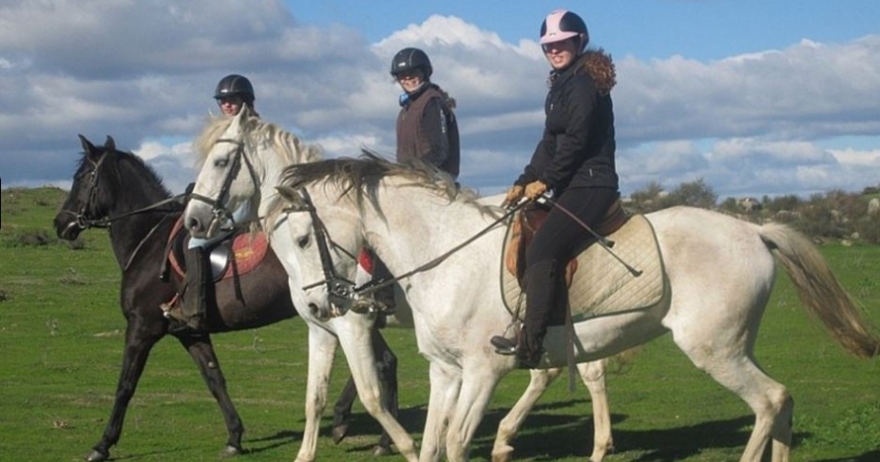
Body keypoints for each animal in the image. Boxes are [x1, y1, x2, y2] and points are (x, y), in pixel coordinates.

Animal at [52, 136, 396, 462]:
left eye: (81, 177)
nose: (60, 223)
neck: (149, 241)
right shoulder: (191, 333)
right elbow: (214, 379)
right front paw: (234, 437)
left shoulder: (141, 328)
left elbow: (125, 385)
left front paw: (102, 444)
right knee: (384, 361)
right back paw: (368, 433)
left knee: (381, 362)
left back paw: (361, 429)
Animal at [182, 109, 616, 462]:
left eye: (221, 161)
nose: (193, 220)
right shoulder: (320, 327)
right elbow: (314, 397)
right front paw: (314, 448)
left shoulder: (352, 323)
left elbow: (371, 392)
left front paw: (393, 442)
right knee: (560, 369)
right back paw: (520, 440)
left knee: (580, 369)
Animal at [266, 156, 880, 462]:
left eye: (302, 238)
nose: (318, 306)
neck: (444, 249)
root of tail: (754, 230)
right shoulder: (446, 372)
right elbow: (436, 443)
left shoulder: (483, 373)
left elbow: (457, 443)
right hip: (736, 345)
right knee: (783, 401)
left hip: (714, 351)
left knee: (770, 401)